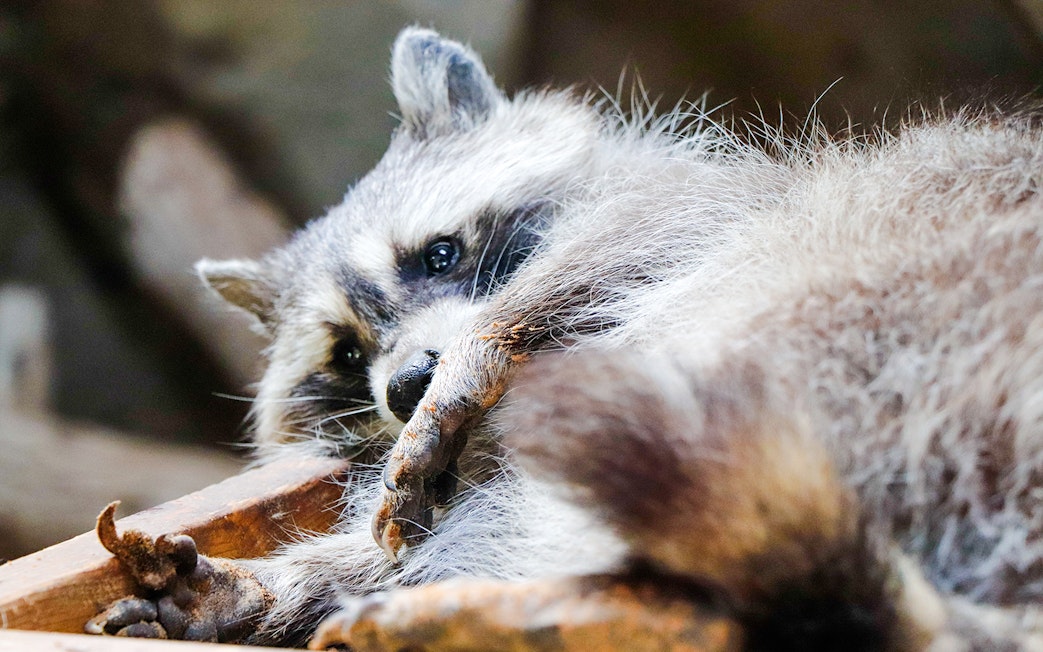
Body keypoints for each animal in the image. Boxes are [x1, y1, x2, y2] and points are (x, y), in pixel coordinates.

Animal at [90, 27, 1043, 650]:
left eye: (440, 254)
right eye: (349, 353)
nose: (407, 384)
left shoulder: (717, 201)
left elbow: (644, 231)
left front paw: (484, 342)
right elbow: (409, 533)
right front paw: (273, 585)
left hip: (861, 307)